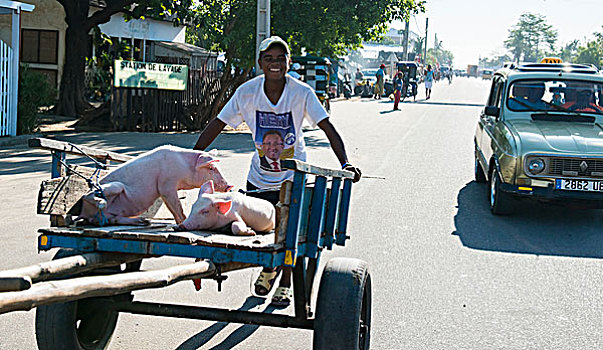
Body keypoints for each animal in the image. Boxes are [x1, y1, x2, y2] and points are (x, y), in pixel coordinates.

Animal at [78, 144, 234, 226]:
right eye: (211, 168)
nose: (229, 186)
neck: (184, 168)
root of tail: (84, 214)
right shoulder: (166, 185)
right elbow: (177, 207)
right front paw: (182, 223)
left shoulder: (164, 189)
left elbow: (172, 208)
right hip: (115, 186)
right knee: (88, 196)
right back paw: (102, 202)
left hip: (111, 213)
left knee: (111, 219)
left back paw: (143, 221)